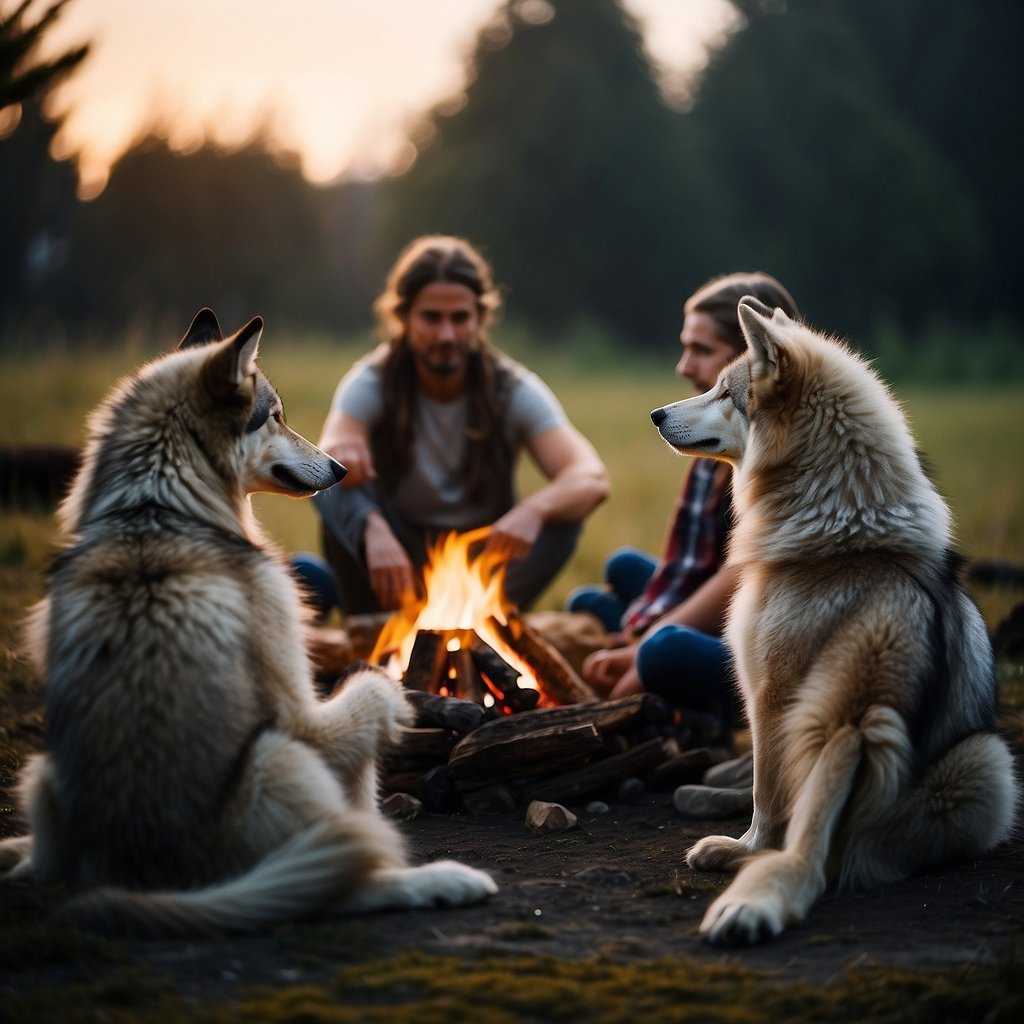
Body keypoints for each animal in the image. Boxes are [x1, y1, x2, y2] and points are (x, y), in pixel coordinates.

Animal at [0, 309, 496, 934]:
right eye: (276, 417)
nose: (342, 468)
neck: (156, 508)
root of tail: (137, 878)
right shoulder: (299, 706)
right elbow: (371, 689)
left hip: (43, 774)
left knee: (46, 861)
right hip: (281, 758)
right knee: (332, 879)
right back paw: (441, 881)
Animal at [651, 297, 1018, 946]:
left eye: (724, 391)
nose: (655, 414)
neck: (846, 532)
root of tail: (864, 726)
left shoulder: (768, 694)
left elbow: (766, 796)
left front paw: (747, 846)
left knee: (800, 841)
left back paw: (736, 855)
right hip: (987, 764)